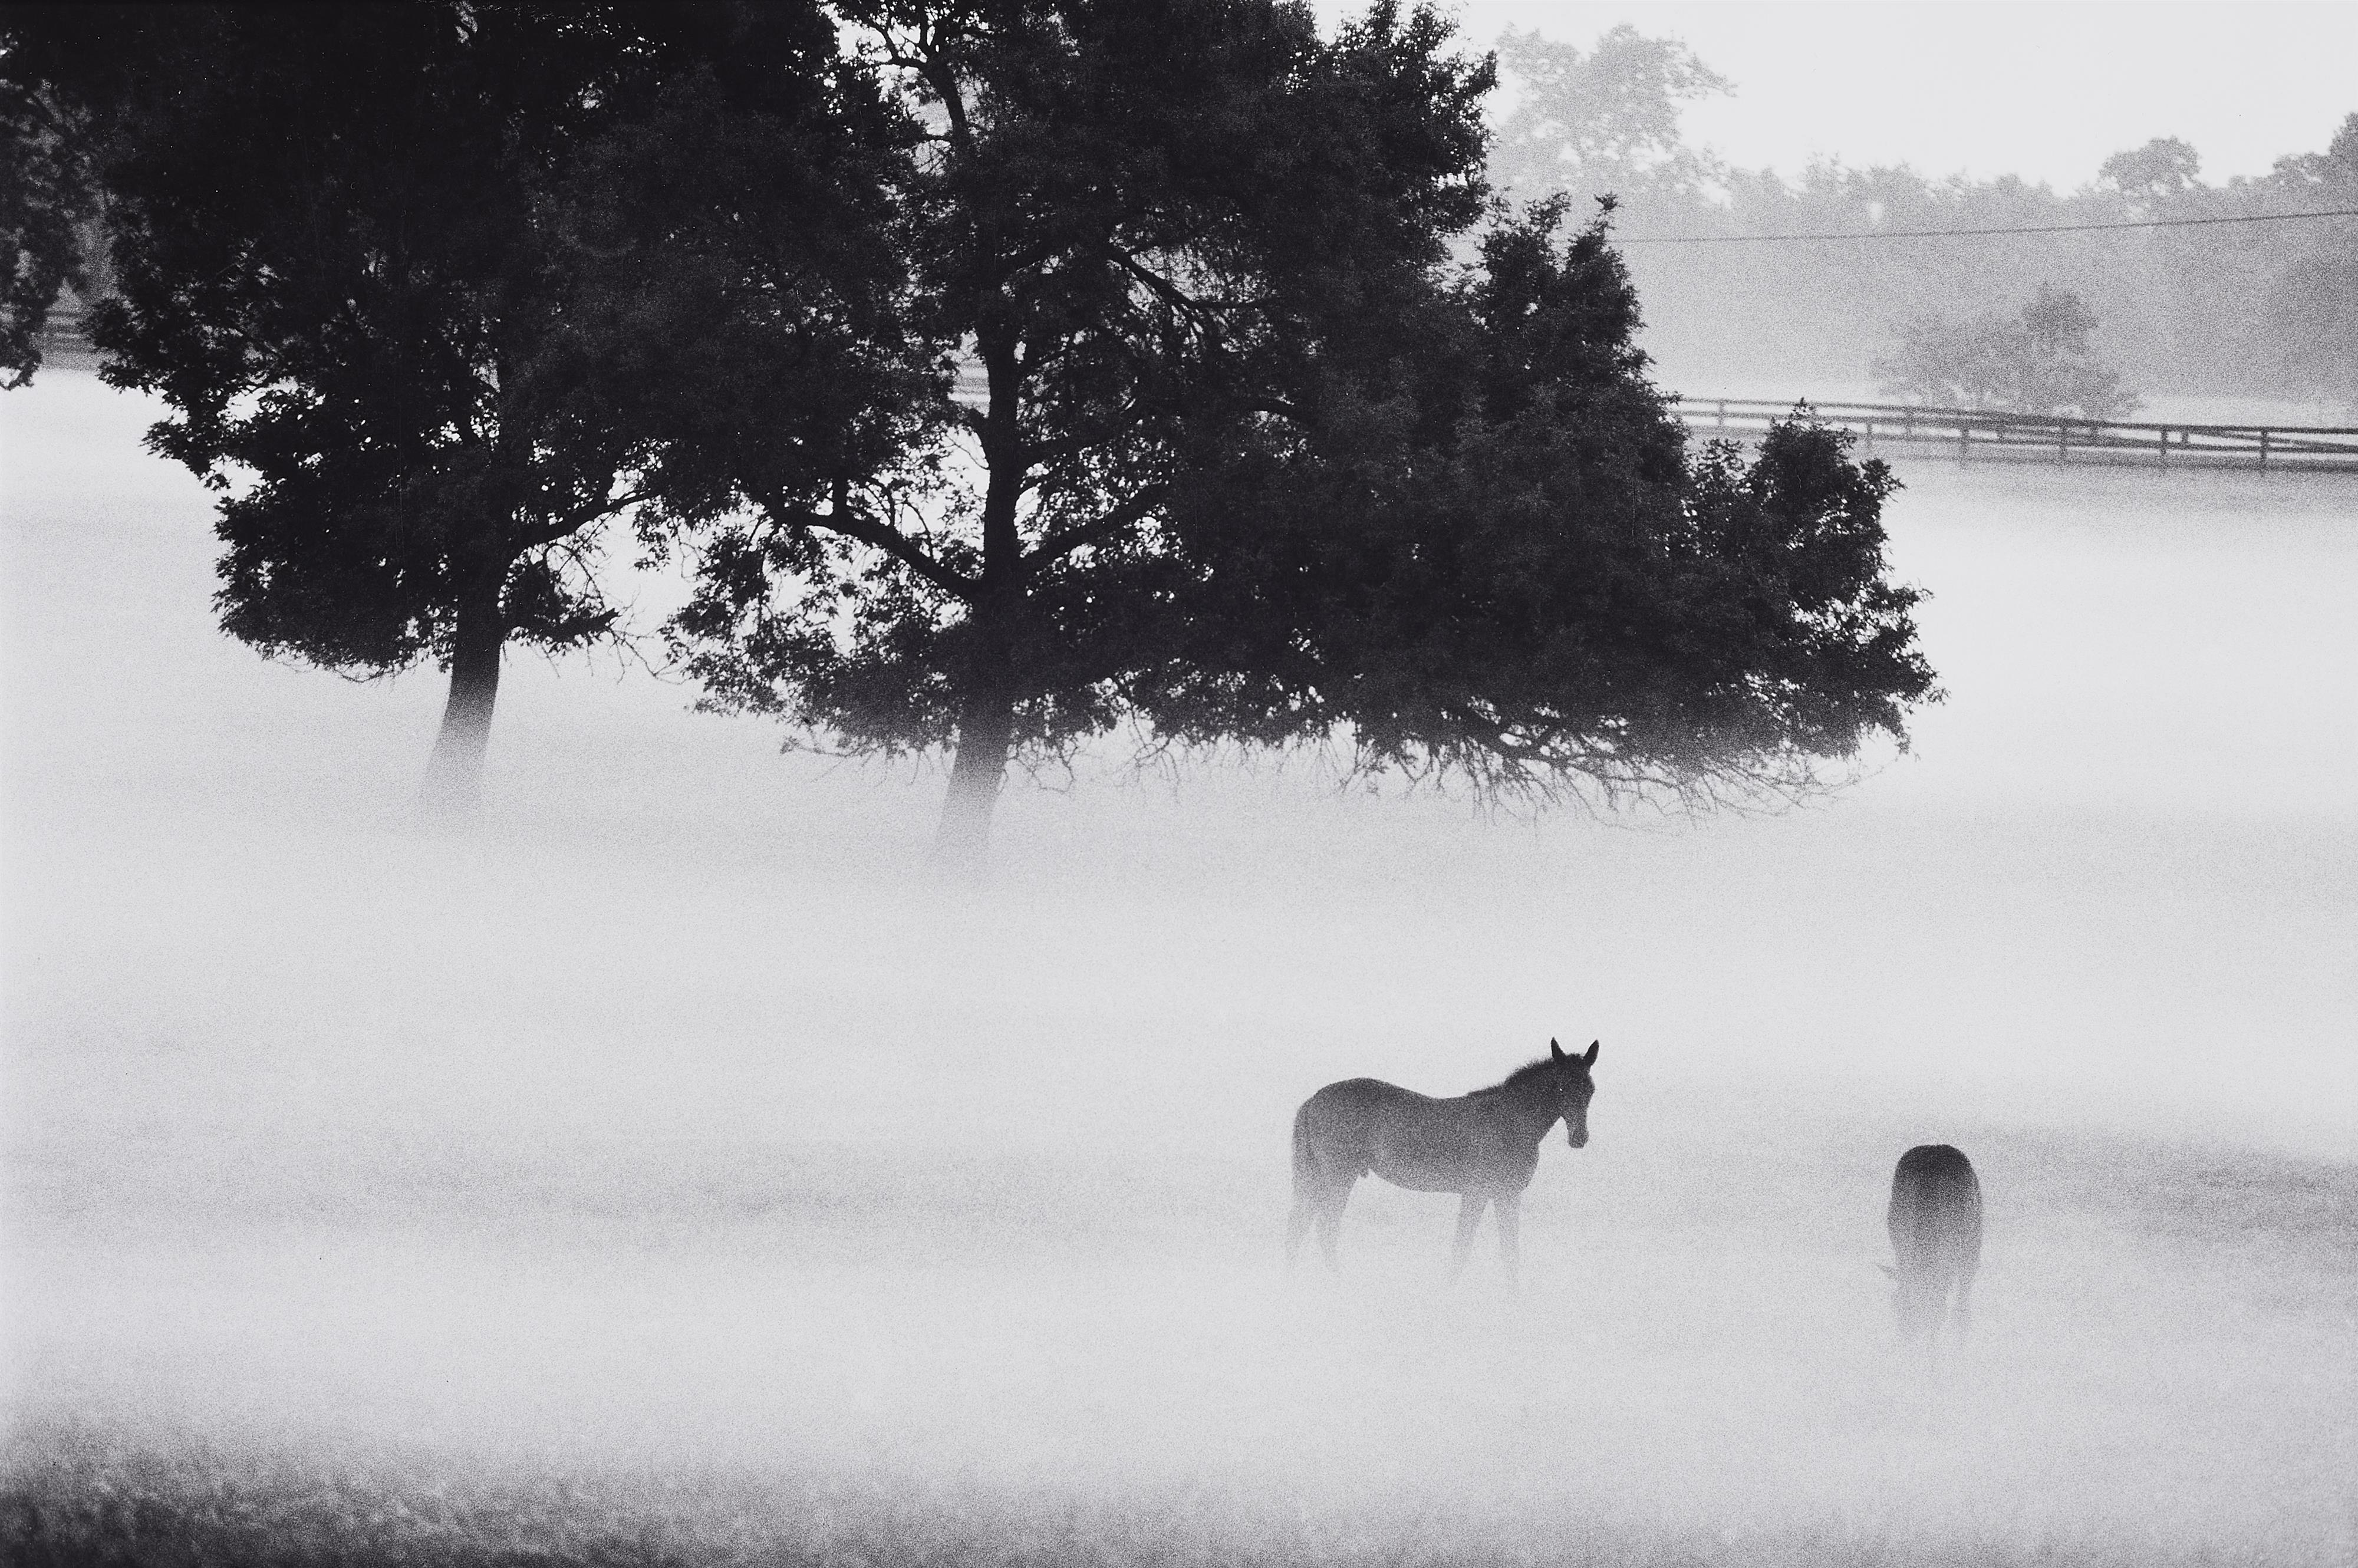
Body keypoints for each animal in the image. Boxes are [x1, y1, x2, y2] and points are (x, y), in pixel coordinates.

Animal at [1286, 1038, 1599, 1285]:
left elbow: (1510, 1251)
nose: (1579, 1138)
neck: (1510, 1121)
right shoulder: (1477, 1193)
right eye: (1561, 1088)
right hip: (1339, 1177)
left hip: (1318, 1178)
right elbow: (1463, 1247)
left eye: (1590, 1089)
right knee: (1325, 1229)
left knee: (1301, 1227)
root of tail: (1311, 1102)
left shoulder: (1506, 1194)